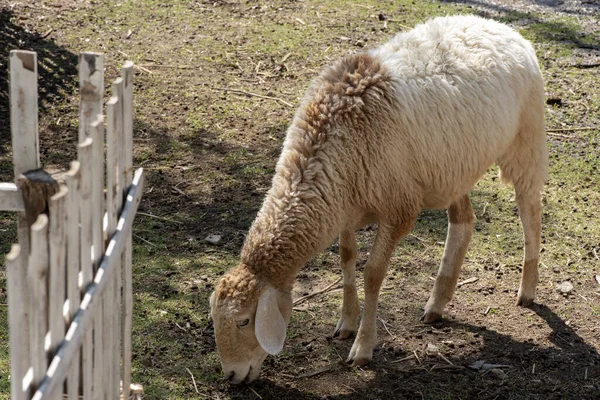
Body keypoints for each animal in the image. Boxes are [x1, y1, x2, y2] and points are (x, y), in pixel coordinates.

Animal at [209, 14, 548, 384]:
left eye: (244, 320)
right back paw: (437, 302)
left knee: (530, 211)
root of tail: (499, 25)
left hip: (527, 139)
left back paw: (527, 289)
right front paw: (345, 323)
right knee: (464, 221)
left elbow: (372, 274)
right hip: (453, 166)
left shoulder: (398, 207)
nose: (231, 376)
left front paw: (363, 347)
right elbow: (346, 258)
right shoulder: (345, 205)